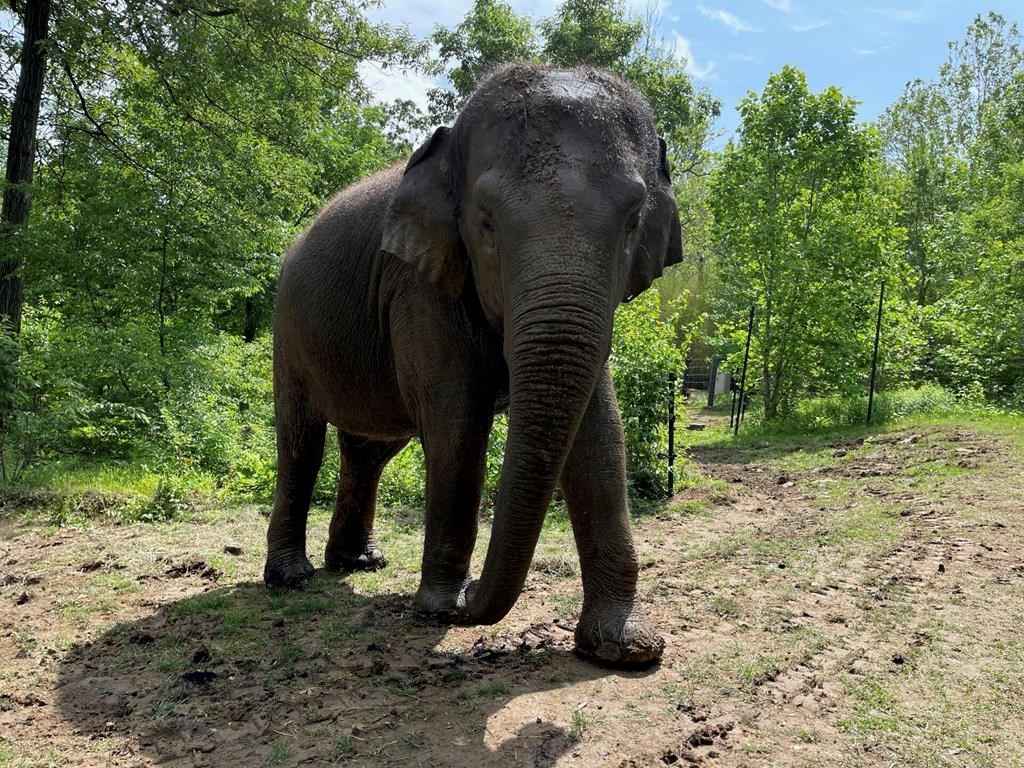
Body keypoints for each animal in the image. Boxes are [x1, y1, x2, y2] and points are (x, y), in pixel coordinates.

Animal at [264, 64, 679, 667]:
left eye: (631, 222)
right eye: (485, 223)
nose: (472, 595)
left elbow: (600, 433)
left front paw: (626, 649)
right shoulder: (419, 282)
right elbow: (456, 420)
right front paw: (439, 607)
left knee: (370, 449)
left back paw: (360, 564)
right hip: (288, 329)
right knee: (301, 442)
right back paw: (291, 578)